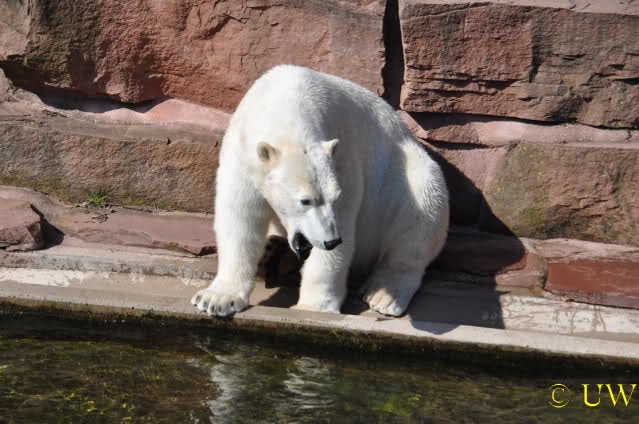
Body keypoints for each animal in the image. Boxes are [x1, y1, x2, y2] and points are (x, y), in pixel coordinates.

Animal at [191, 65, 449, 317]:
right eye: (305, 200)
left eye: (334, 198)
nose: (332, 241)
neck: (285, 103)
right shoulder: (243, 154)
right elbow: (240, 215)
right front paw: (216, 299)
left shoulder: (344, 158)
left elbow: (343, 223)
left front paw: (312, 306)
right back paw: (270, 254)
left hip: (405, 174)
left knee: (421, 214)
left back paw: (383, 295)